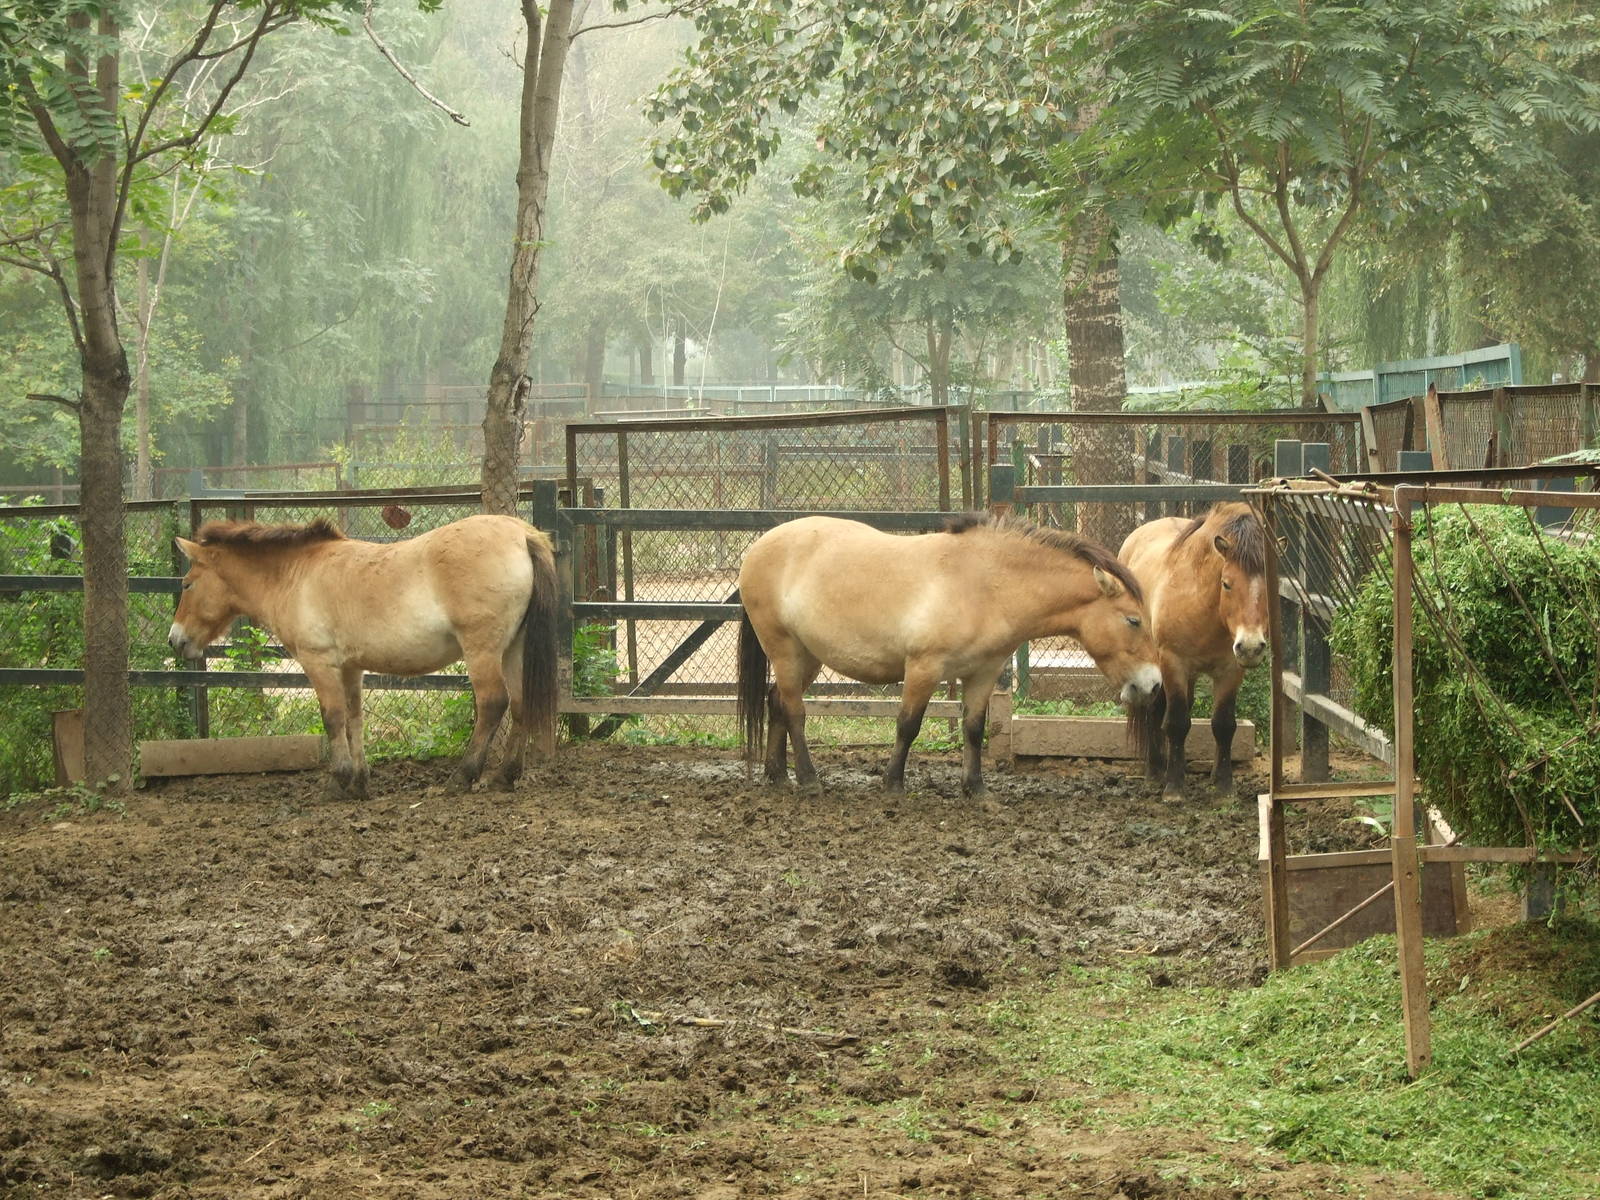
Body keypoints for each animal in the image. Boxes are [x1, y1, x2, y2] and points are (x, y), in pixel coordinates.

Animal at [168, 514, 559, 800]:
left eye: (187, 584)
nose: (175, 640)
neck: (297, 574)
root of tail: (521, 533)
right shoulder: (350, 669)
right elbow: (354, 719)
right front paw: (359, 781)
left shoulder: (319, 663)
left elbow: (332, 718)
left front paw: (337, 781)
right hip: (512, 649)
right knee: (520, 703)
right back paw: (506, 776)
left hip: (482, 651)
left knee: (493, 702)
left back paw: (462, 777)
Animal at [736, 512, 1161, 797]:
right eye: (1134, 620)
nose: (1153, 685)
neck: (986, 585)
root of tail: (758, 546)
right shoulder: (924, 668)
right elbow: (908, 725)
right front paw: (893, 784)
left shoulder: (983, 673)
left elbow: (973, 728)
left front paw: (976, 789)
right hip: (785, 650)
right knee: (795, 711)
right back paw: (809, 780)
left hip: (807, 656)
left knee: (777, 702)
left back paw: (777, 775)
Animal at [1118, 502, 1269, 801]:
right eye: (1227, 583)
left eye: (1270, 585)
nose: (1250, 647)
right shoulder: (1173, 663)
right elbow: (1176, 722)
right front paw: (1174, 788)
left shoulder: (1230, 670)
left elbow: (1223, 725)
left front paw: (1223, 786)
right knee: (1154, 711)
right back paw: (1155, 772)